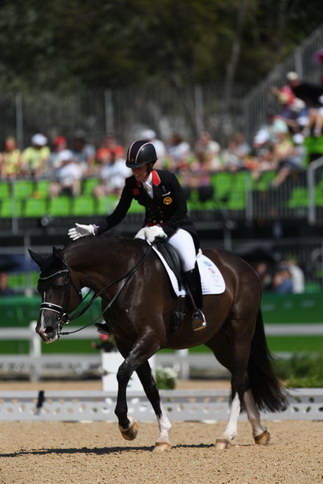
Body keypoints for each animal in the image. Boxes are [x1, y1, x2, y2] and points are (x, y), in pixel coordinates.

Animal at [29, 236, 288, 452]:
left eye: (59, 286)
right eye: (39, 288)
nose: (44, 330)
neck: (125, 279)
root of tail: (245, 266)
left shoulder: (151, 339)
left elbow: (123, 373)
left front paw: (127, 426)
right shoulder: (127, 343)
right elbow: (149, 386)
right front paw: (162, 436)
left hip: (239, 334)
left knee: (238, 380)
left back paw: (226, 435)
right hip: (219, 342)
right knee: (242, 375)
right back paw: (259, 431)